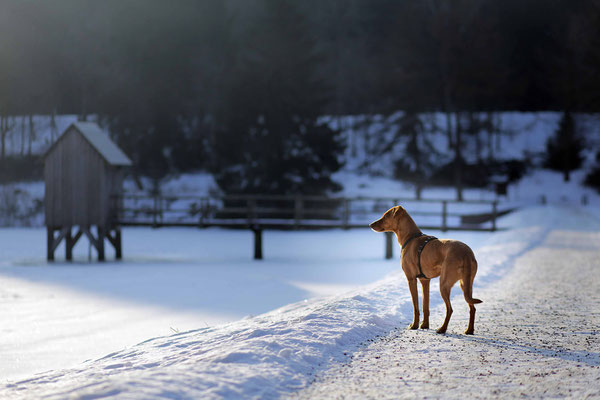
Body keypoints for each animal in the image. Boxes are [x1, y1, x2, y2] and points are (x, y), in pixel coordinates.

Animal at [370, 206, 482, 334]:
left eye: (385, 216)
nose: (370, 224)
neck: (410, 237)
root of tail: (466, 254)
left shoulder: (411, 279)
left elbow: (416, 306)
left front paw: (414, 325)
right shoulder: (425, 280)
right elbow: (425, 306)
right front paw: (424, 325)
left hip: (444, 284)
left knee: (450, 309)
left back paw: (442, 329)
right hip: (466, 284)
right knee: (472, 307)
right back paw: (469, 330)